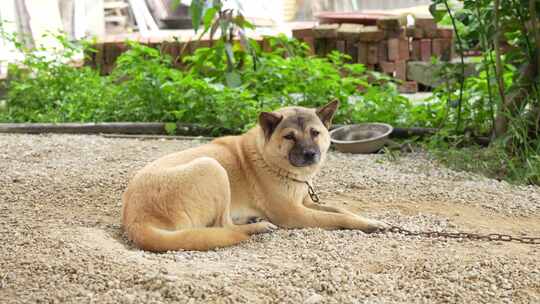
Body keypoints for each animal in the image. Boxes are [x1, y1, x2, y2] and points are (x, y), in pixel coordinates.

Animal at [122, 100, 386, 252]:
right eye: (289, 137)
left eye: (315, 133)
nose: (310, 154)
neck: (268, 158)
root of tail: (135, 220)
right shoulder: (294, 213)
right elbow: (337, 218)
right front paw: (369, 225)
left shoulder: (305, 202)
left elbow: (341, 210)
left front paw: (372, 219)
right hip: (212, 167)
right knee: (224, 226)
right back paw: (257, 227)